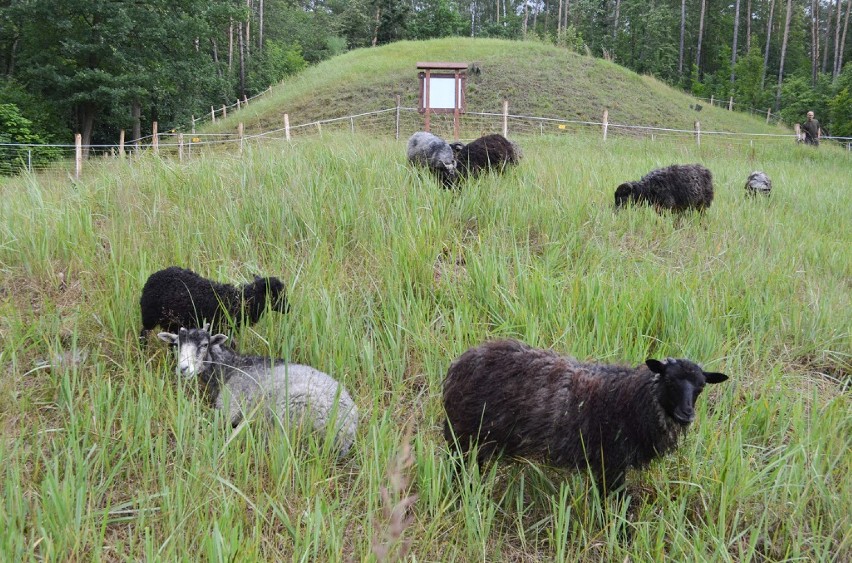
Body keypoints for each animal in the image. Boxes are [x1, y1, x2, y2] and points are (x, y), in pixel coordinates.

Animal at [138, 268, 288, 344]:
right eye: (277, 294)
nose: (289, 309)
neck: (241, 300)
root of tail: (153, 276)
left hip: (171, 323)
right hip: (149, 317)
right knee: (143, 334)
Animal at [158, 326, 358, 458]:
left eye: (205, 344)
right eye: (176, 345)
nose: (183, 369)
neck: (230, 367)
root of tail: (347, 430)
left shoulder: (229, 408)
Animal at [442, 340, 728, 494]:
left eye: (701, 387)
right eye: (669, 381)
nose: (686, 414)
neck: (632, 397)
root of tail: (459, 364)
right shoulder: (610, 463)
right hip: (464, 437)